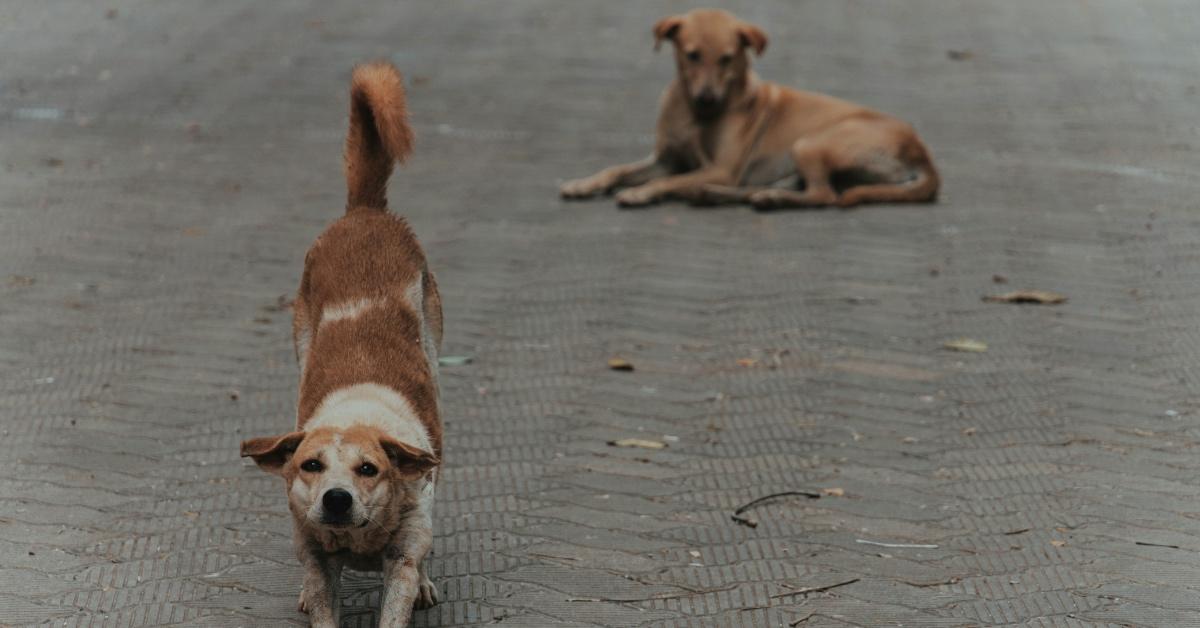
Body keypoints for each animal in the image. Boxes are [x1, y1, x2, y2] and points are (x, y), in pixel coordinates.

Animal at [242, 60, 446, 628]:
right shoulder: (313, 551)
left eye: (368, 469)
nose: (336, 499)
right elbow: (322, 598)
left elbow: (401, 590)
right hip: (301, 341)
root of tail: (365, 212)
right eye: (310, 465)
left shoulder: (404, 550)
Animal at [556, 7, 940, 208]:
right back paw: (728, 194)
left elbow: (670, 180)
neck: (693, 115)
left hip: (811, 142)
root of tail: (921, 151)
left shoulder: (722, 168)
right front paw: (583, 184)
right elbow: (617, 169)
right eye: (691, 55)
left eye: (727, 58)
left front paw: (641, 191)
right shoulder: (666, 158)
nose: (707, 98)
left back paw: (764, 197)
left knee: (825, 196)